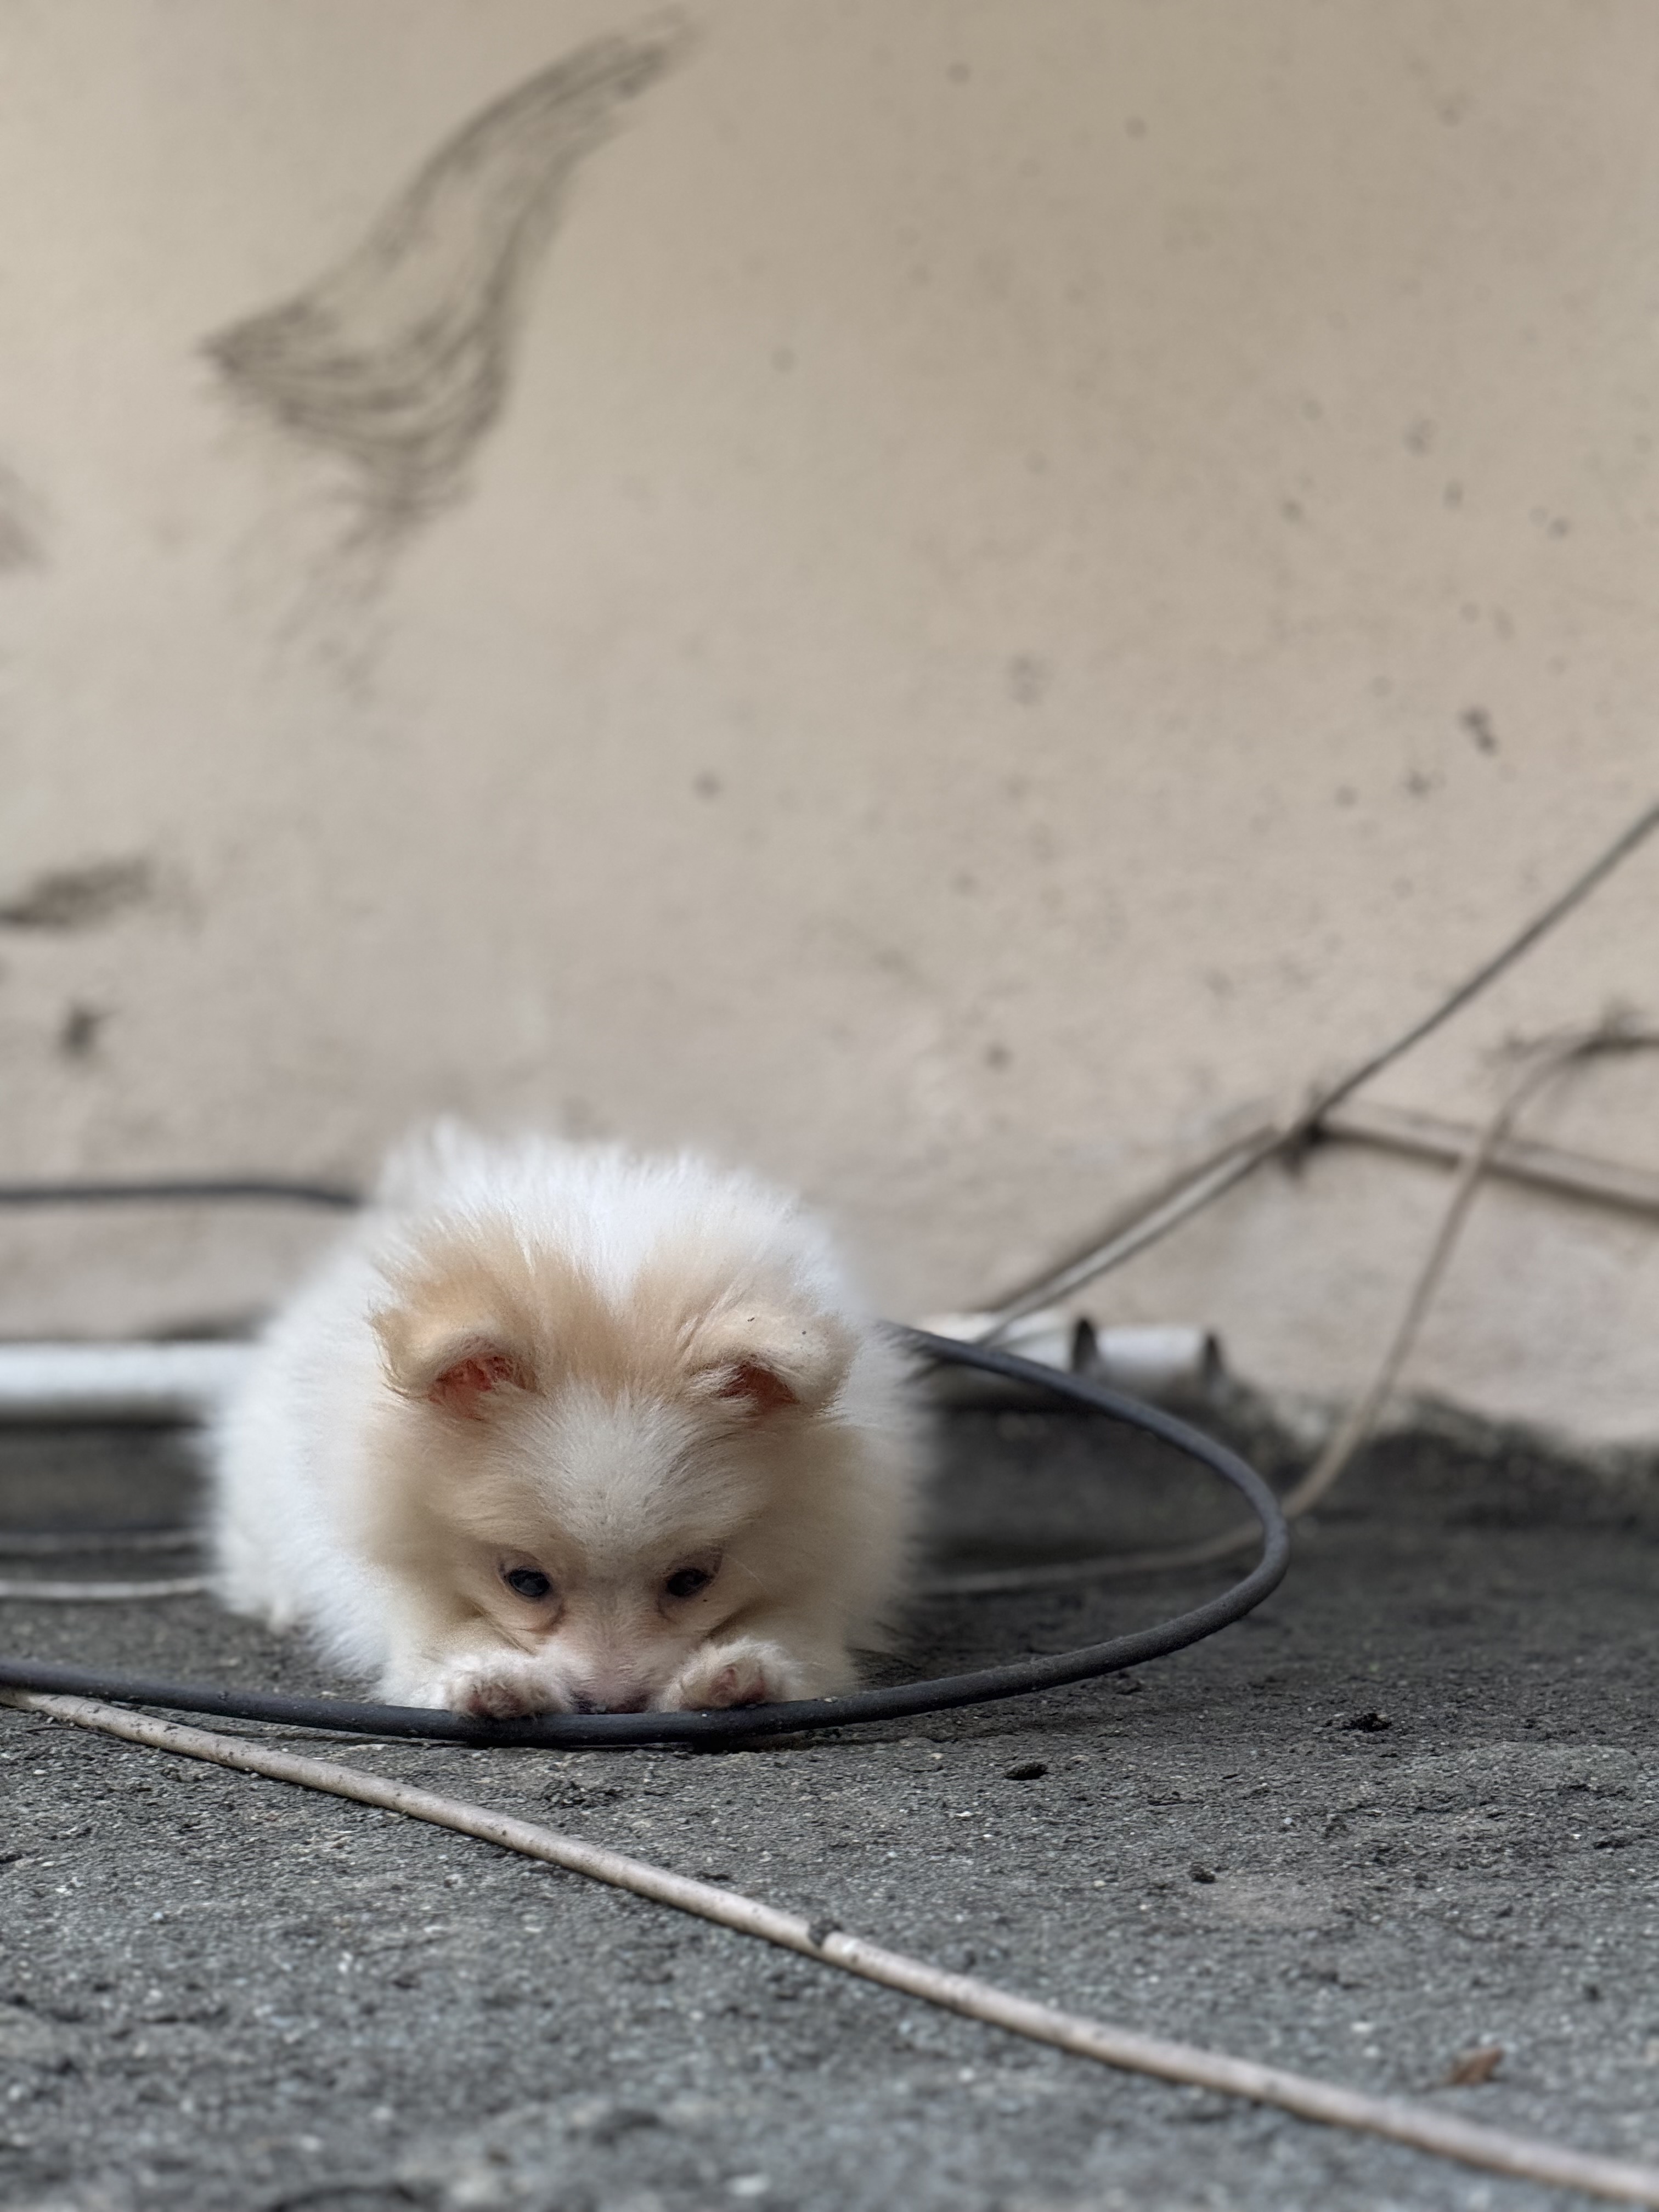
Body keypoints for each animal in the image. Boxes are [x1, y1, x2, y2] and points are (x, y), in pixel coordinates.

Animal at [208, 1132, 924, 1716]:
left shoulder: (826, 1554)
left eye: (692, 1581)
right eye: (525, 1583)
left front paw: (739, 1671)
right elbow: (445, 1632)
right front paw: (491, 1679)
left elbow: (792, 1629)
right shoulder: (393, 1574)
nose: (610, 1703)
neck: (608, 1271)